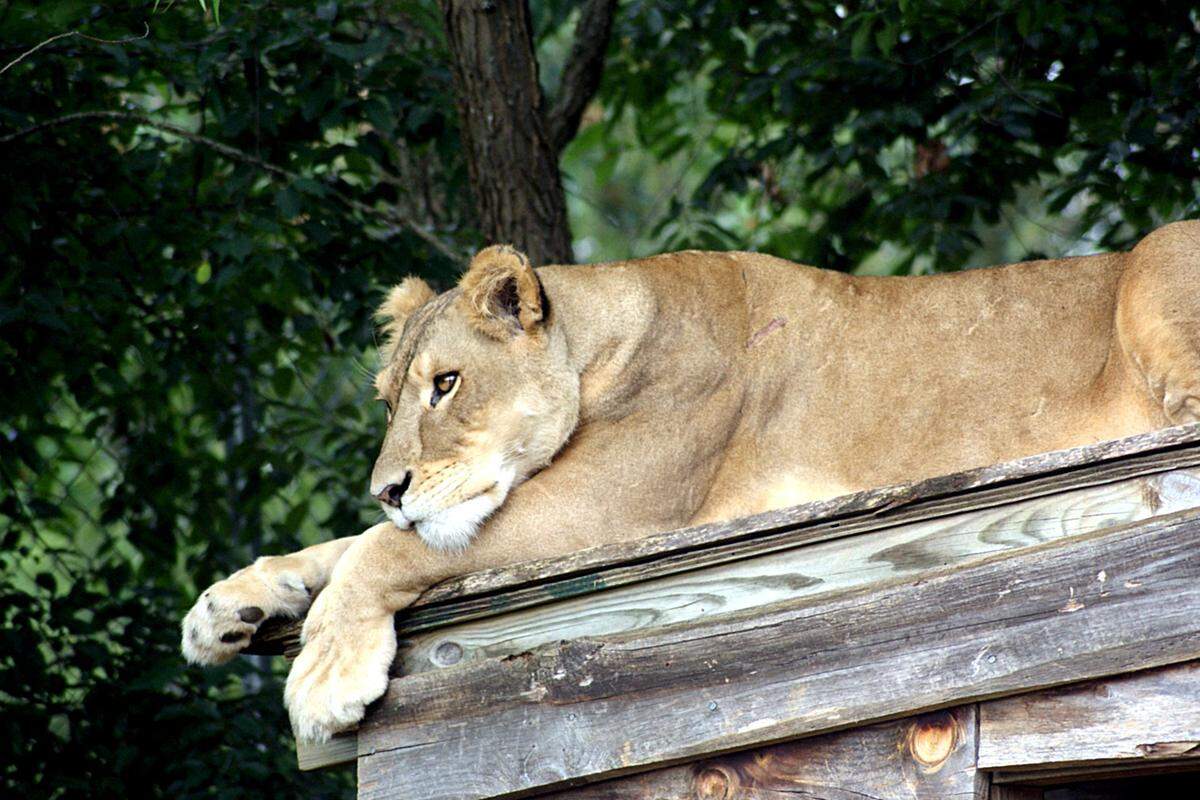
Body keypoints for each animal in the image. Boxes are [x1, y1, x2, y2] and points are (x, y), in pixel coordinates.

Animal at [182, 220, 1200, 743]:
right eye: (391, 397)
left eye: (448, 384)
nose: (387, 486)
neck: (598, 338)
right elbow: (341, 545)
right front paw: (227, 606)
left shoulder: (609, 506)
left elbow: (382, 553)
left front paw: (323, 676)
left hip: (1156, 258)